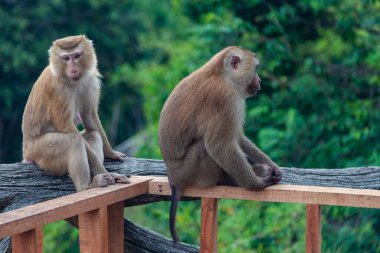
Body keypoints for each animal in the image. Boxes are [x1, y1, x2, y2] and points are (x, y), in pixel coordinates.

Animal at [22, 34, 130, 192]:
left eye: (77, 56)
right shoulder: (57, 89)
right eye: (66, 58)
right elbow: (65, 126)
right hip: (40, 152)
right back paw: (87, 187)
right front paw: (105, 173)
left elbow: (89, 116)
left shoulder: (90, 82)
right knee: (74, 141)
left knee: (93, 135)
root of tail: (27, 152)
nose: (73, 69)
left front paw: (111, 154)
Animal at [158, 46, 282, 243]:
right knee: (205, 146)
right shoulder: (224, 99)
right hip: (193, 171)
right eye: (256, 68)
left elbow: (237, 137)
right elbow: (220, 145)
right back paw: (231, 180)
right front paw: (255, 184)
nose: (260, 80)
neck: (222, 75)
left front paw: (273, 166)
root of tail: (173, 180)